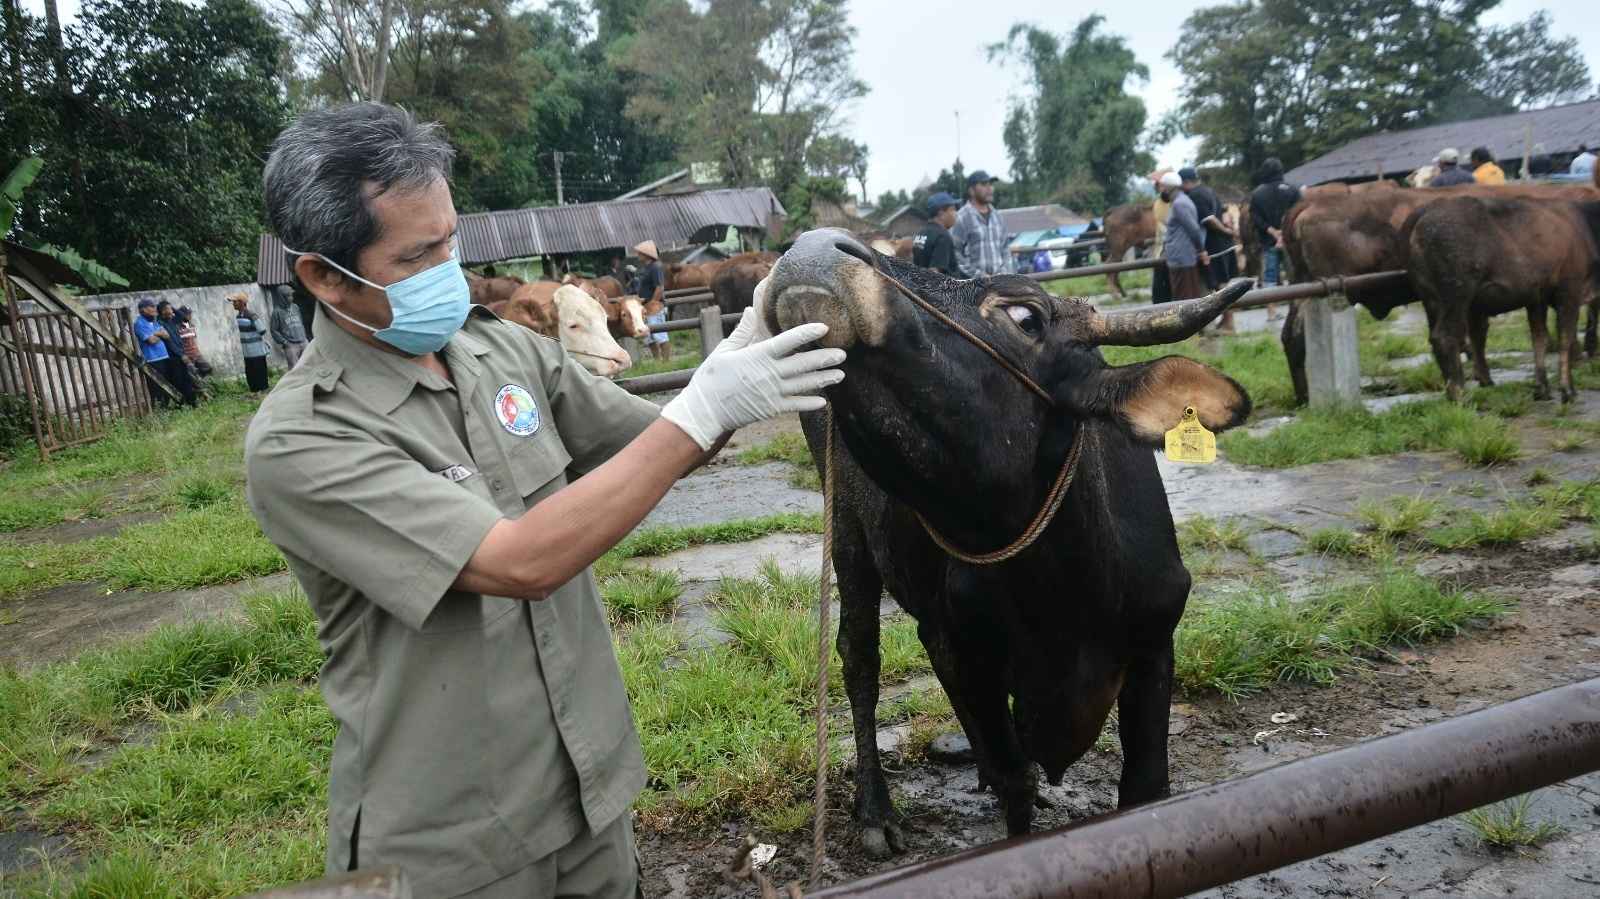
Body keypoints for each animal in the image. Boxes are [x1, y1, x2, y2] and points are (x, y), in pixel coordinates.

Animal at [768, 227, 1254, 851]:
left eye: (1026, 317)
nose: (815, 244)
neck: (1063, 596)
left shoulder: (1155, 641)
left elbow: (1144, 786)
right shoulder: (959, 649)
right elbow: (1015, 781)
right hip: (849, 536)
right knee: (859, 660)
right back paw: (875, 811)